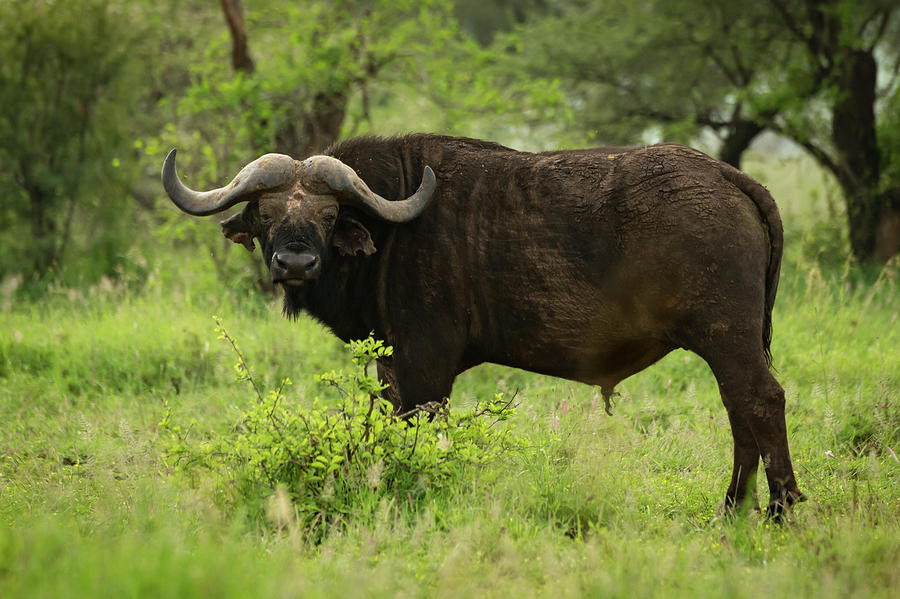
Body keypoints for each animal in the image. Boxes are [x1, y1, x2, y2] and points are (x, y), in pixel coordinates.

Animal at [163, 134, 808, 516]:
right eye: (267, 213)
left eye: (326, 214)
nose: (295, 262)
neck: (393, 228)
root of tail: (730, 178)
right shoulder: (393, 366)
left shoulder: (427, 367)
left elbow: (422, 429)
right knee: (739, 408)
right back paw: (734, 507)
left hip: (729, 339)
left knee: (761, 400)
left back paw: (780, 507)